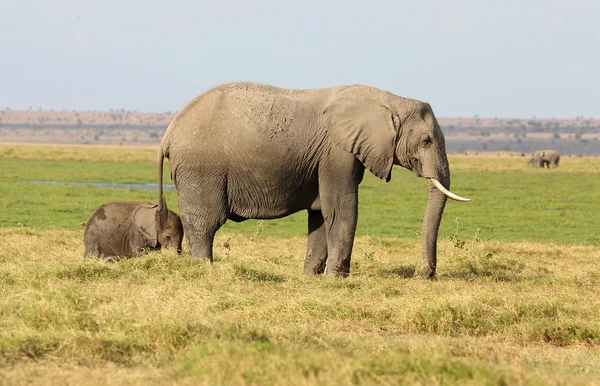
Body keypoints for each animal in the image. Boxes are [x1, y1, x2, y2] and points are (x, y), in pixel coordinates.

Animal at [157, 83, 472, 278]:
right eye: (426, 140)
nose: (423, 274)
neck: (388, 100)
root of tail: (168, 135)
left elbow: (321, 214)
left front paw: (311, 277)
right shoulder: (337, 153)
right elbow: (342, 211)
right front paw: (338, 279)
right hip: (201, 169)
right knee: (206, 224)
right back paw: (204, 270)